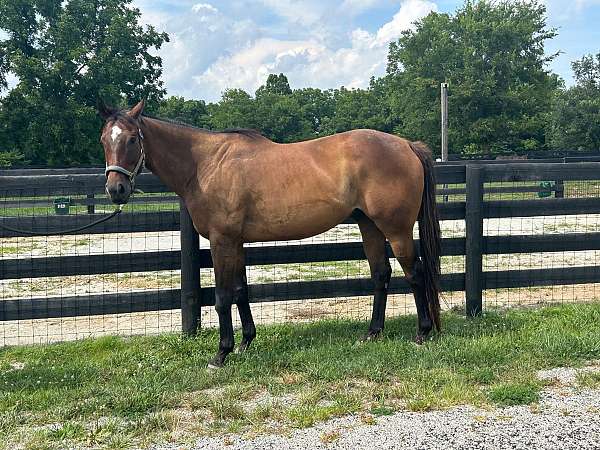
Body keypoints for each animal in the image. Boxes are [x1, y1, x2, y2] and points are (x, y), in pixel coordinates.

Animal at [98, 99, 440, 370]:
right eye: (104, 139)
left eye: (132, 139)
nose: (116, 189)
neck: (206, 165)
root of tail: (407, 145)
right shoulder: (235, 243)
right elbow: (240, 291)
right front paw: (246, 343)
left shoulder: (222, 241)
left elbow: (222, 297)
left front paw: (221, 354)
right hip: (369, 225)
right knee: (381, 274)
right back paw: (371, 333)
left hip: (396, 229)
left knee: (415, 273)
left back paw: (422, 333)